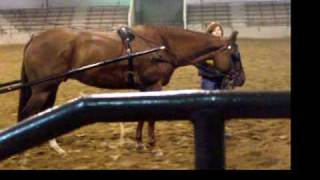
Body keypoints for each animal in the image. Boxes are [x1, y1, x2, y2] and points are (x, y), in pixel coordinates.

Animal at [18, 25, 241, 154]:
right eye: (235, 55)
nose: (241, 79)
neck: (162, 46)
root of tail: (36, 36)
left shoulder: (145, 88)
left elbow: (142, 115)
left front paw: (140, 143)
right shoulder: (154, 86)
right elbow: (151, 117)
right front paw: (152, 146)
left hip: (50, 87)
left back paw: (54, 146)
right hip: (42, 89)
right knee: (29, 113)